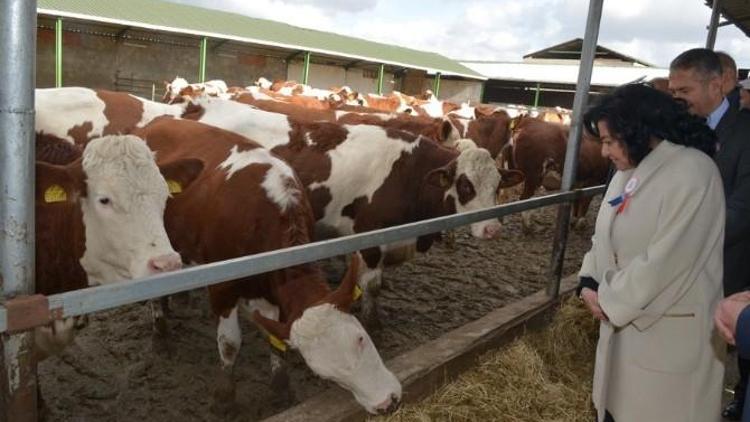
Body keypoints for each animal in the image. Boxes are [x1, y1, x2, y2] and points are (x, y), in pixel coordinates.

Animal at [135, 118, 406, 416]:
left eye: (360, 338)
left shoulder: (273, 290)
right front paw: (224, 399)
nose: (387, 402)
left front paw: (281, 389)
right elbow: (229, 344)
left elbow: (275, 341)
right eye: (324, 373)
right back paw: (160, 334)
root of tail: (158, 121)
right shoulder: (222, 287)